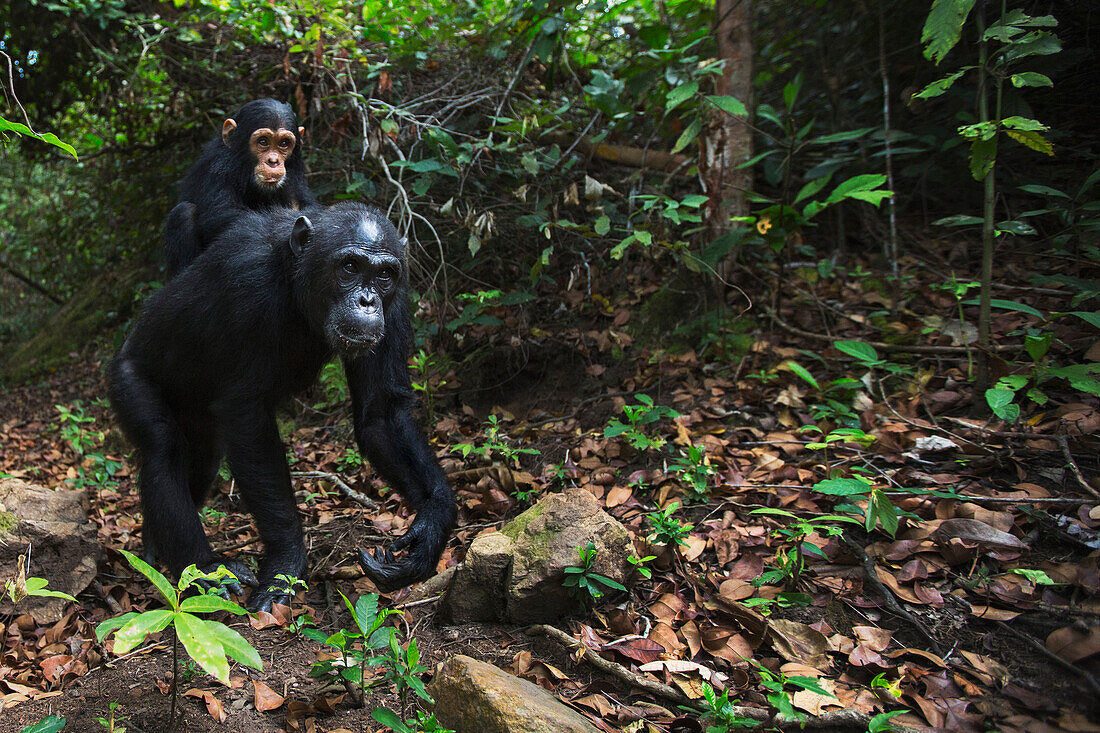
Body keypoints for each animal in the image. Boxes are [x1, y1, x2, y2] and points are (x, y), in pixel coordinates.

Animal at [109, 202, 453, 607]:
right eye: (350, 267)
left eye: (384, 274)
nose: (368, 301)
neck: (296, 281)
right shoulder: (247, 284)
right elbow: (248, 417)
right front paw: (285, 565)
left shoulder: (396, 302)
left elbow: (382, 413)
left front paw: (431, 529)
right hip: (126, 377)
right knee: (164, 447)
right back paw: (203, 570)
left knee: (201, 462)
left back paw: (156, 545)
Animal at [163, 96, 319, 277]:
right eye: (263, 141)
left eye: (284, 143)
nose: (273, 161)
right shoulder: (217, 167)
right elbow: (226, 217)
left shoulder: (294, 177)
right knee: (183, 212)